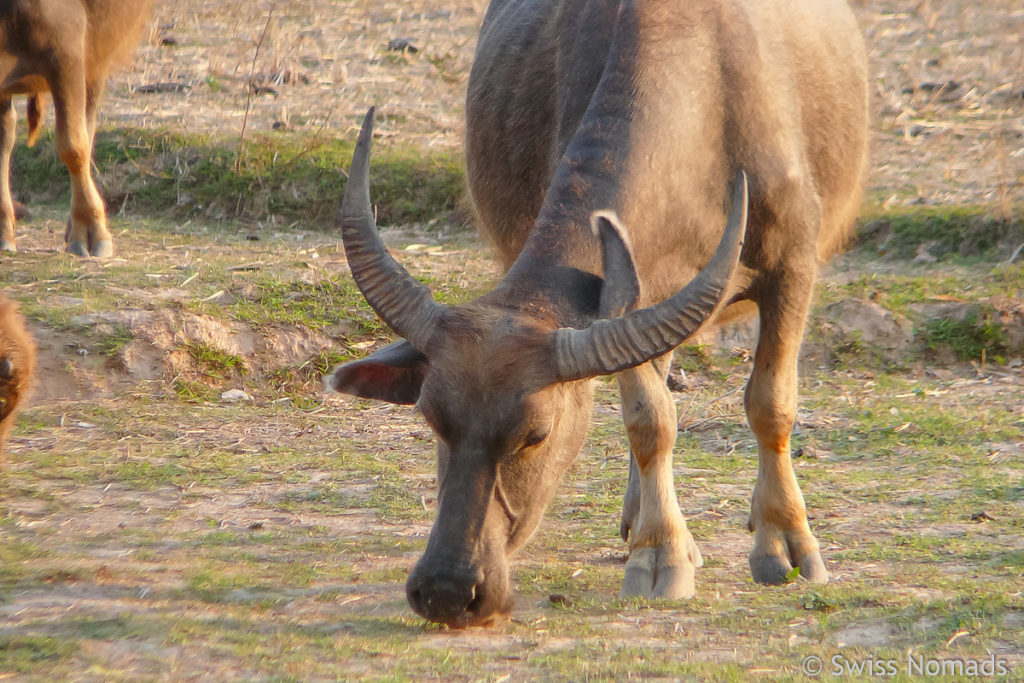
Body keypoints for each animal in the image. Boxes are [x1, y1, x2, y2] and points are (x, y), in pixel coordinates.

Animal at [325, 0, 864, 630]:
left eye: (536, 434)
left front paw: (786, 543)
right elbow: (649, 420)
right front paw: (660, 551)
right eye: (433, 419)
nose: (447, 590)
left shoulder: (794, 268)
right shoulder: (630, 300)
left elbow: (771, 403)